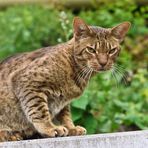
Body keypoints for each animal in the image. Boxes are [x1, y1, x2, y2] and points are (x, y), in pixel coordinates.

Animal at [0, 17, 130, 141]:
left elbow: (65, 116)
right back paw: (10, 135)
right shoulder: (26, 81)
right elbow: (39, 111)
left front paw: (71, 128)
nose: (103, 63)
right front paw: (49, 128)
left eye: (112, 50)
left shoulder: (62, 101)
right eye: (91, 50)